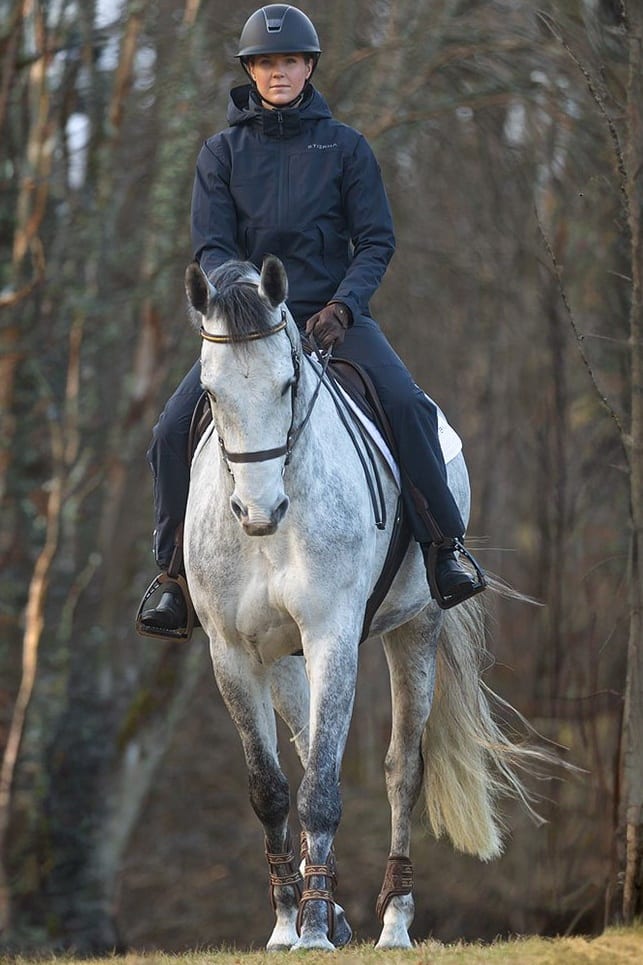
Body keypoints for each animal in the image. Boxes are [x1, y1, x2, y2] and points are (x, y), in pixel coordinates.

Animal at [183, 254, 541, 951]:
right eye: (210, 392)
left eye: (288, 384)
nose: (259, 513)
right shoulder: (232, 653)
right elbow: (271, 789)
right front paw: (287, 925)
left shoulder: (332, 636)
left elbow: (323, 788)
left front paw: (316, 930)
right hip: (282, 655)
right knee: (303, 747)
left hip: (417, 628)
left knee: (403, 770)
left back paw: (393, 920)